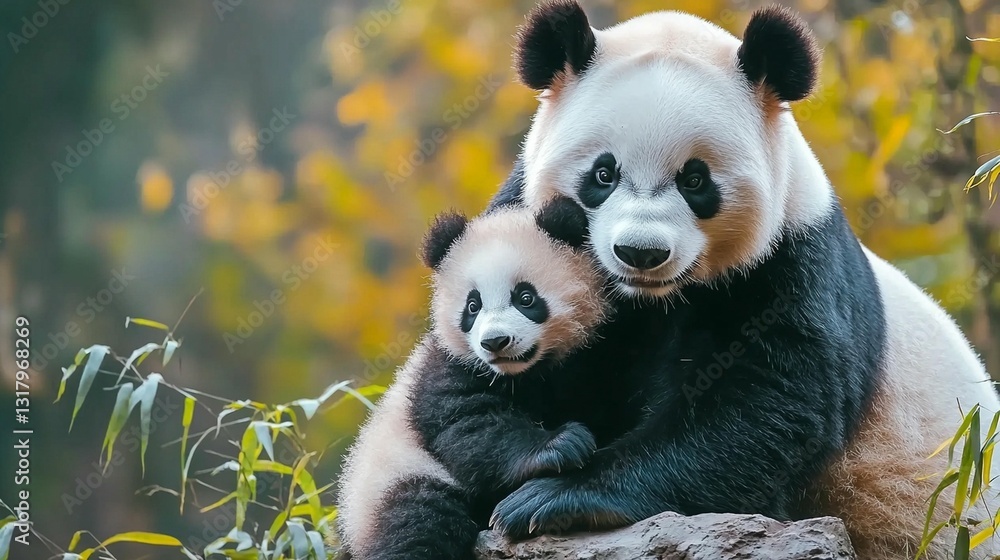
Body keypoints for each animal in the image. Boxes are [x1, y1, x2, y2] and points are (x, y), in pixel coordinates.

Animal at [334, 197, 611, 560]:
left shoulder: (590, 357)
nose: (495, 342)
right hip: (392, 478)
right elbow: (469, 423)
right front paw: (561, 444)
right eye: (472, 306)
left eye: (526, 298)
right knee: (419, 521)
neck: (521, 373)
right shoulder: (450, 366)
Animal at [482, 3, 1000, 559]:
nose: (641, 253)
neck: (650, 300)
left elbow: (764, 406)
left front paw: (552, 498)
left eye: (695, 180)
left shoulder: (791, 261)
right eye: (603, 174)